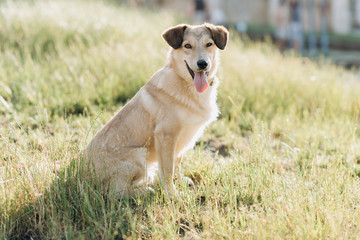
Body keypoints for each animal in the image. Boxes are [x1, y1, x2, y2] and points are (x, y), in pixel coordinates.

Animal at [84, 22, 228, 197]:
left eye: (209, 44)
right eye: (187, 45)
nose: (202, 64)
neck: (184, 83)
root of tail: (80, 175)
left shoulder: (179, 139)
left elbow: (177, 161)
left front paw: (180, 181)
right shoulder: (166, 135)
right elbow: (167, 170)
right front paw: (172, 194)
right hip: (139, 155)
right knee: (115, 192)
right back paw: (145, 191)